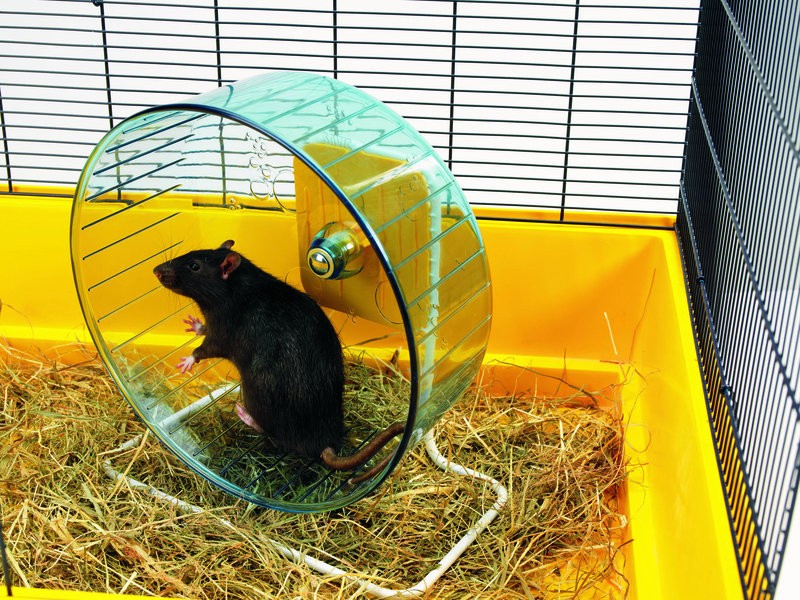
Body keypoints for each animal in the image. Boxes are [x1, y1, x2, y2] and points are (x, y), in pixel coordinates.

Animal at [153, 240, 403, 485]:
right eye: (190, 253)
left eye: (194, 266)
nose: (156, 270)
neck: (236, 284)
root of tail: (324, 440)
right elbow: (204, 330)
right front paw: (196, 326)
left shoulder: (224, 328)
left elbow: (208, 347)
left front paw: (189, 360)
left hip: (254, 390)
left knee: (270, 431)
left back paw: (246, 415)